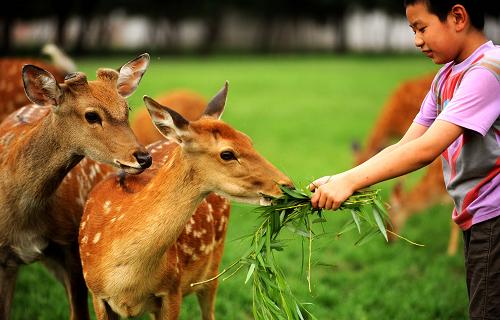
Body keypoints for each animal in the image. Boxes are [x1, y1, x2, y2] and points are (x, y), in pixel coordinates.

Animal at [79, 83, 292, 320]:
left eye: (248, 140)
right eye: (227, 154)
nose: (287, 185)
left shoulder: (173, 288)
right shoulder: (96, 295)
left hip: (213, 265)